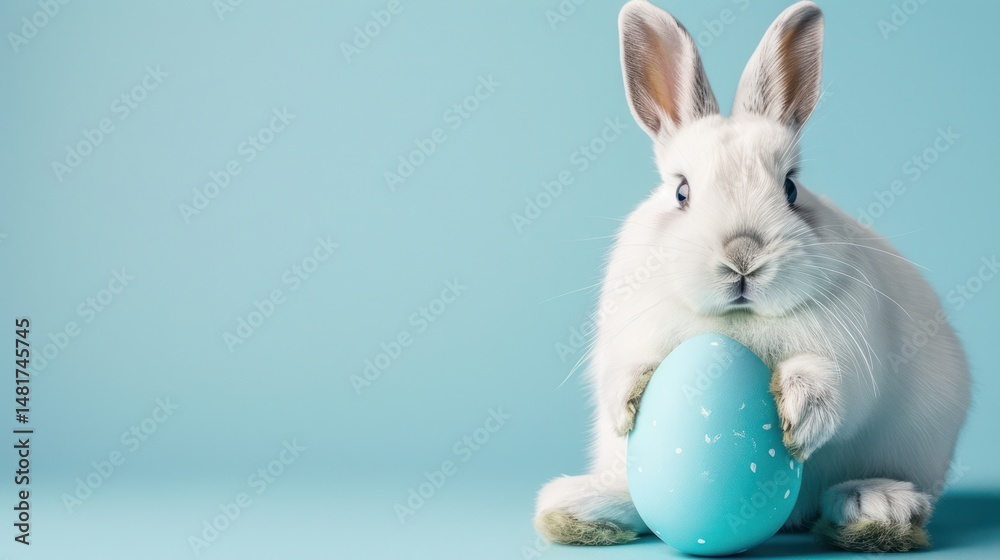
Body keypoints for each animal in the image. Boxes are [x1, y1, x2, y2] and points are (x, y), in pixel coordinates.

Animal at [533, 0, 971, 553]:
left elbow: (833, 387)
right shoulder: (628, 337)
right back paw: (580, 507)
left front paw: (799, 415)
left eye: (791, 188)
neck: (735, 325)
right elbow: (625, 371)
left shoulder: (850, 358)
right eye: (681, 191)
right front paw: (625, 404)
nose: (743, 255)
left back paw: (876, 507)